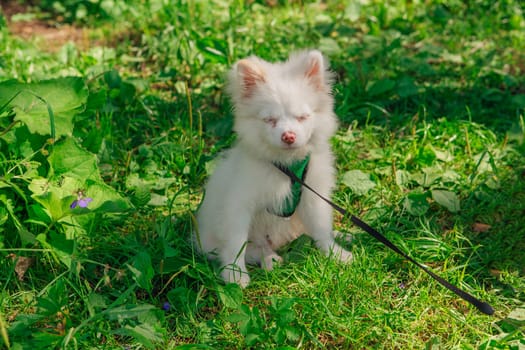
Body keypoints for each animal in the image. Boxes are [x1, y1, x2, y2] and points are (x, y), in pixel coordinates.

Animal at [195, 50, 352, 288]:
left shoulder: (313, 197)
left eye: (302, 117)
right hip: (215, 243)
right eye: (270, 120)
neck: (286, 166)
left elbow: (321, 228)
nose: (288, 136)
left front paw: (335, 254)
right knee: (253, 249)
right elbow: (236, 243)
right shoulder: (238, 206)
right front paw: (235, 275)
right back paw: (269, 258)